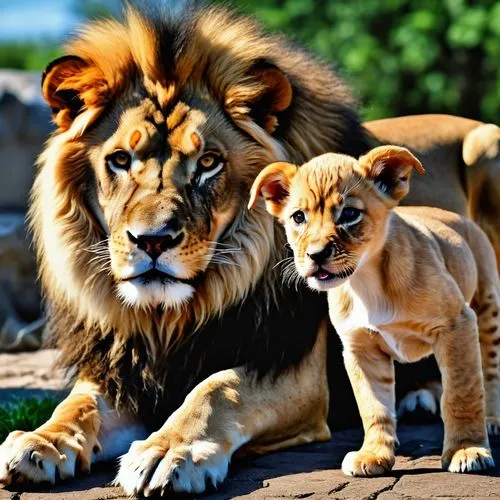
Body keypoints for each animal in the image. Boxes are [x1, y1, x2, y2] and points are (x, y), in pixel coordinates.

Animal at [0, 2, 370, 496]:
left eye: (208, 163)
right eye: (120, 160)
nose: (152, 240)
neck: (167, 321)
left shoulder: (295, 371)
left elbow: (216, 388)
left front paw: (167, 451)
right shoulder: (122, 370)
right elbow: (77, 404)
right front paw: (40, 440)